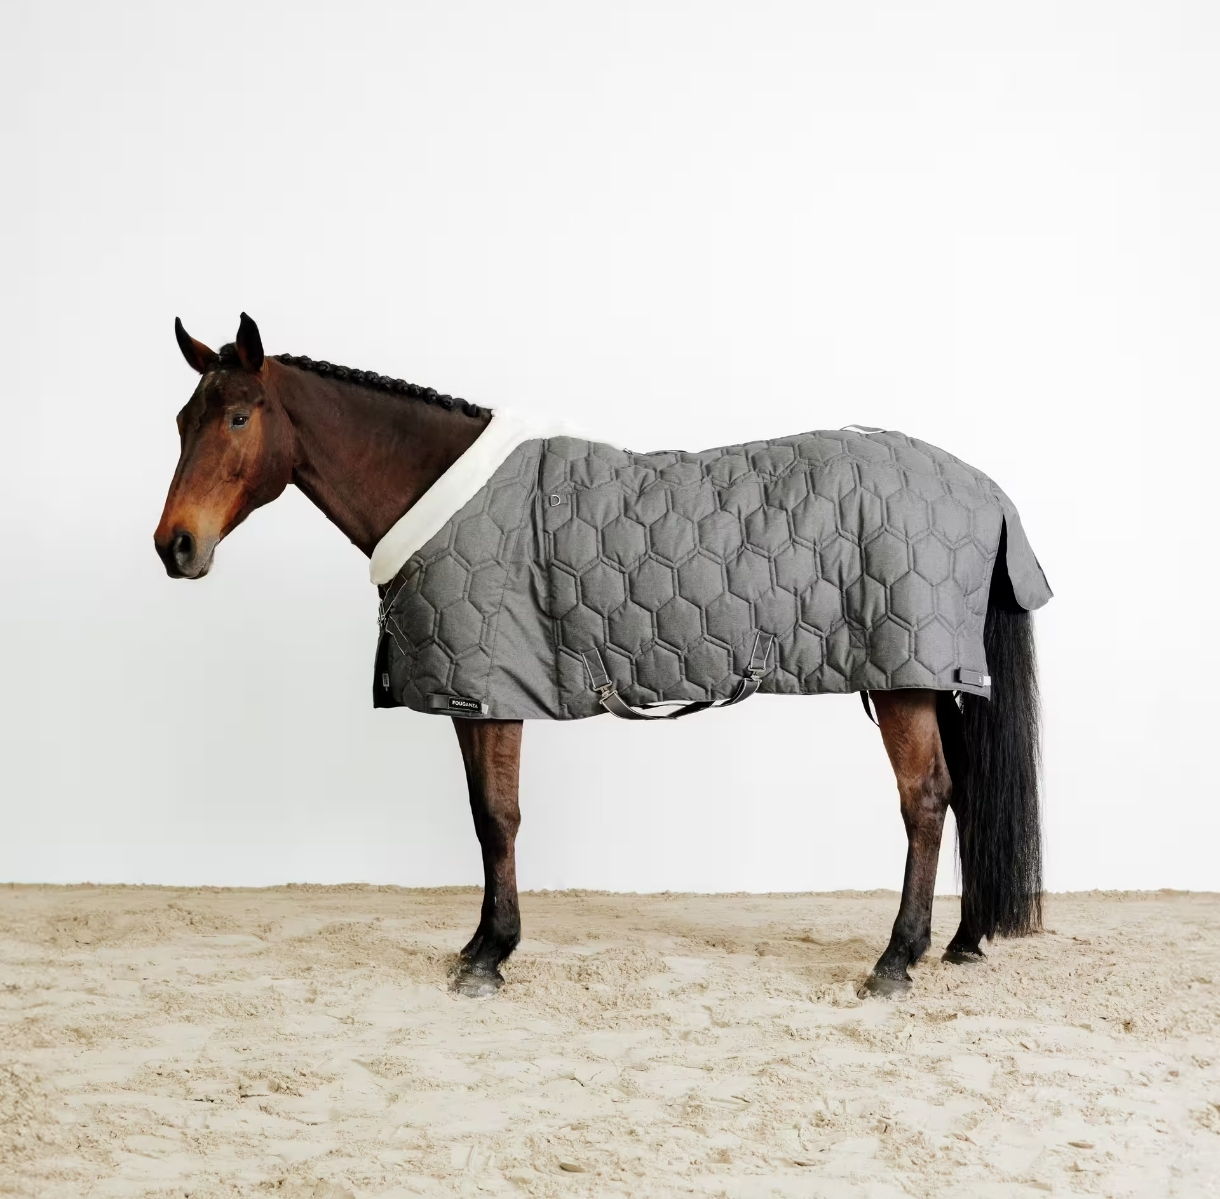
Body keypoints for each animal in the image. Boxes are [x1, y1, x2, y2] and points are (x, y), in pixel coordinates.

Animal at [155, 313, 1044, 998]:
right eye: (181, 421)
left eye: (239, 418)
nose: (176, 545)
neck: (442, 495)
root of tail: (985, 487)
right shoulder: (474, 695)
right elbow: (482, 816)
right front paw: (478, 943)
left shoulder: (492, 692)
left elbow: (499, 817)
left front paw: (492, 954)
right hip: (931, 680)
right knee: (965, 793)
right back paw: (960, 941)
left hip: (905, 681)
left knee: (926, 799)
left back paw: (895, 959)